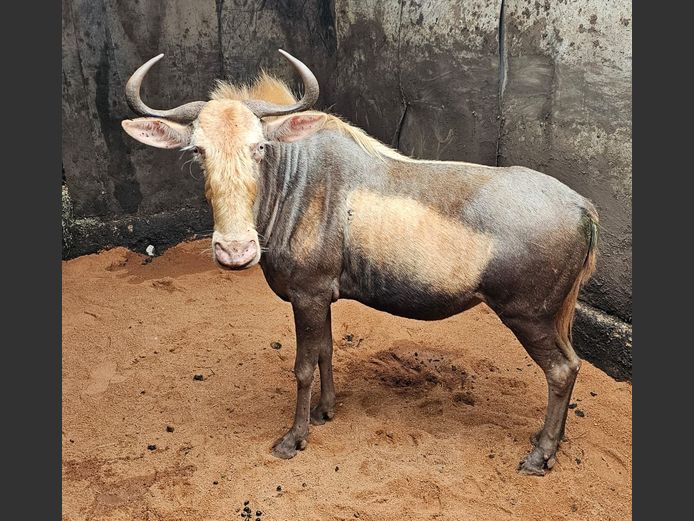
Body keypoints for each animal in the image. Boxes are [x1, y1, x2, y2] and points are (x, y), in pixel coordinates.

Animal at [121, 50, 598, 475]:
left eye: (259, 147)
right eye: (197, 151)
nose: (235, 252)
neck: (297, 177)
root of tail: (582, 208)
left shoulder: (307, 295)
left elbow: (302, 367)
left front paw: (294, 439)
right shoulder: (320, 297)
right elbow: (326, 351)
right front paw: (324, 413)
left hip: (528, 316)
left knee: (562, 369)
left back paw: (539, 456)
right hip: (549, 316)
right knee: (571, 365)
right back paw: (549, 443)